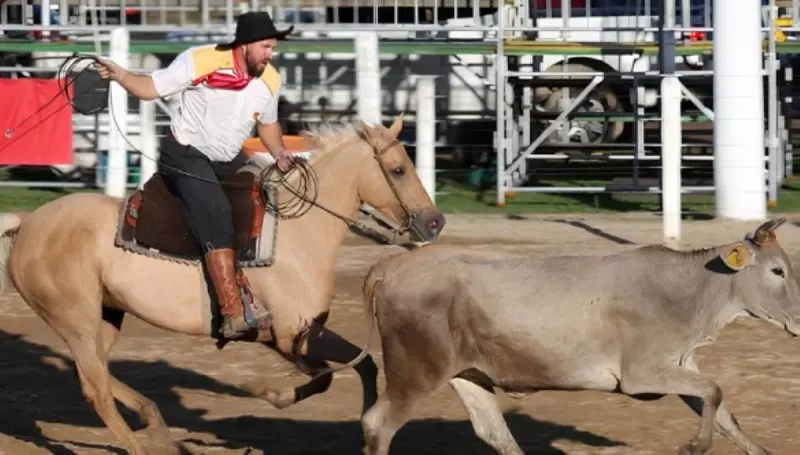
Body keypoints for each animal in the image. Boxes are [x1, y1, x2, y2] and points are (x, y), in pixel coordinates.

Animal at [0, 115, 444, 455]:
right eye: (399, 169)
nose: (435, 221)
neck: (298, 231)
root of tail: (27, 223)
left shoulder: (300, 332)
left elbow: (362, 365)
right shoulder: (289, 336)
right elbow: (325, 376)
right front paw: (267, 393)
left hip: (106, 316)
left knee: (98, 375)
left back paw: (154, 420)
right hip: (75, 320)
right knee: (95, 387)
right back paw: (143, 442)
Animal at [358, 219, 800, 454]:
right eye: (777, 270)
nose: (798, 319)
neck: (687, 288)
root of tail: (393, 265)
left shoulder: (681, 362)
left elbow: (724, 413)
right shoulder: (641, 374)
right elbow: (714, 391)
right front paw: (694, 445)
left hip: (467, 374)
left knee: (494, 431)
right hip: (415, 372)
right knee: (378, 424)